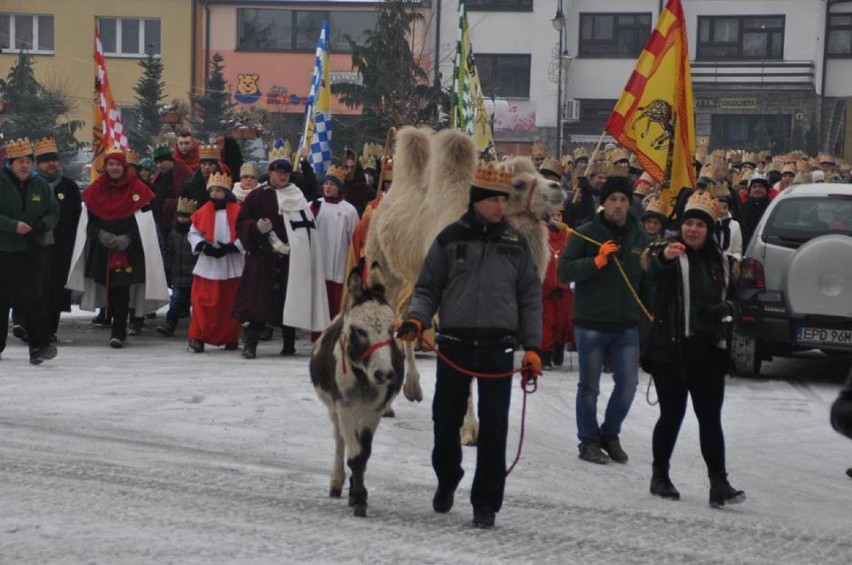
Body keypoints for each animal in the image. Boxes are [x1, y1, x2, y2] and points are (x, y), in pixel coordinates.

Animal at [366, 125, 564, 442]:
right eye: (518, 183)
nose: (558, 188)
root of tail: (382, 202)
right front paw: (468, 428)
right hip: (385, 269)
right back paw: (386, 403)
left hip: (416, 279)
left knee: (404, 322)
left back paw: (412, 389)